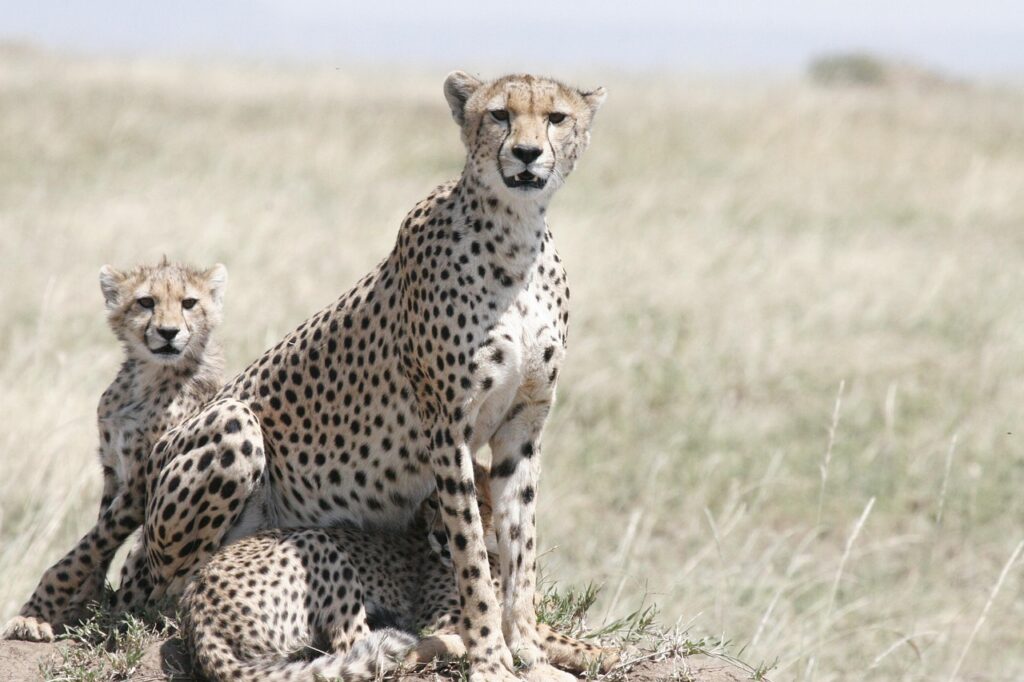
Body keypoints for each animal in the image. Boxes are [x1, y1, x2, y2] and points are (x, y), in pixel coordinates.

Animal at [2, 258, 228, 642]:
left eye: (189, 303)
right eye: (146, 302)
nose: (168, 332)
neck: (148, 377)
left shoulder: (141, 484)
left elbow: (86, 548)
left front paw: (34, 613)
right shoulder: (114, 470)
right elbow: (97, 541)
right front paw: (82, 605)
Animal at [134, 71, 605, 682]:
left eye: (556, 118)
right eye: (500, 115)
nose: (526, 153)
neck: (515, 235)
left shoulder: (523, 426)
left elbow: (518, 545)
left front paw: (528, 649)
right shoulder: (446, 426)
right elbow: (473, 555)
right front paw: (489, 658)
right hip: (233, 429)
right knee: (172, 592)